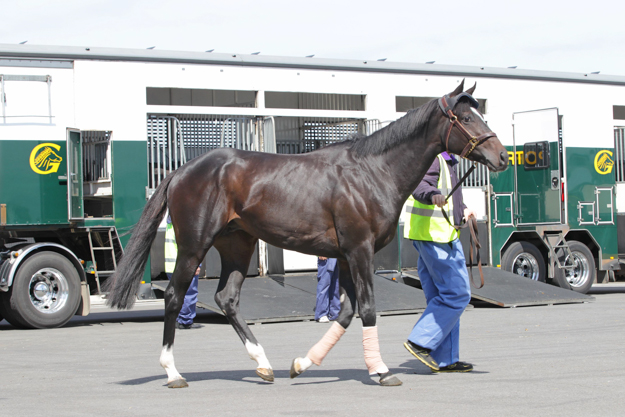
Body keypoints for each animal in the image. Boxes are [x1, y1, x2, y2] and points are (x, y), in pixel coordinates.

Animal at [106, 80, 508, 386]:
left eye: (480, 114)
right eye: (466, 117)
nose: (502, 156)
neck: (372, 171)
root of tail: (181, 170)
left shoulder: (345, 256)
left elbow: (346, 312)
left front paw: (302, 363)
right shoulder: (360, 250)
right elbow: (367, 309)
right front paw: (380, 371)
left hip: (238, 244)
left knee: (227, 299)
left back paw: (263, 364)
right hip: (193, 247)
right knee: (175, 297)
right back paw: (173, 372)